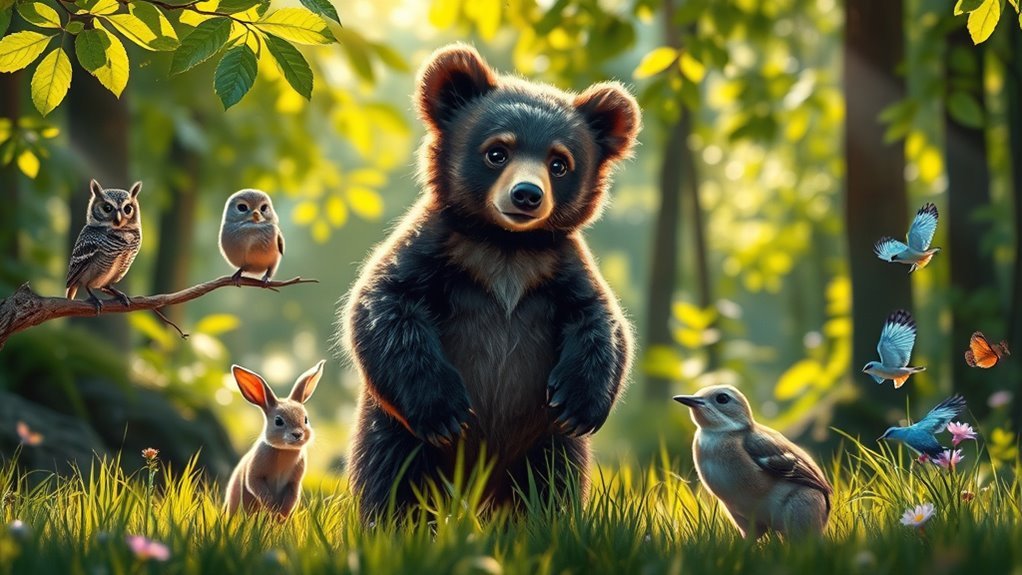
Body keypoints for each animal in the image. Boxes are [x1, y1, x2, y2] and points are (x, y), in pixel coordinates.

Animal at [341, 44, 640, 523]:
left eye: (559, 162)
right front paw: (446, 411)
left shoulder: (556, 267)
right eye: (497, 151)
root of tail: (476, 491)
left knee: (552, 486)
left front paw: (578, 403)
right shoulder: (438, 250)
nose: (527, 195)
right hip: (389, 429)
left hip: (544, 444)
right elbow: (385, 303)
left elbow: (600, 318)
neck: (504, 247)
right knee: (392, 481)